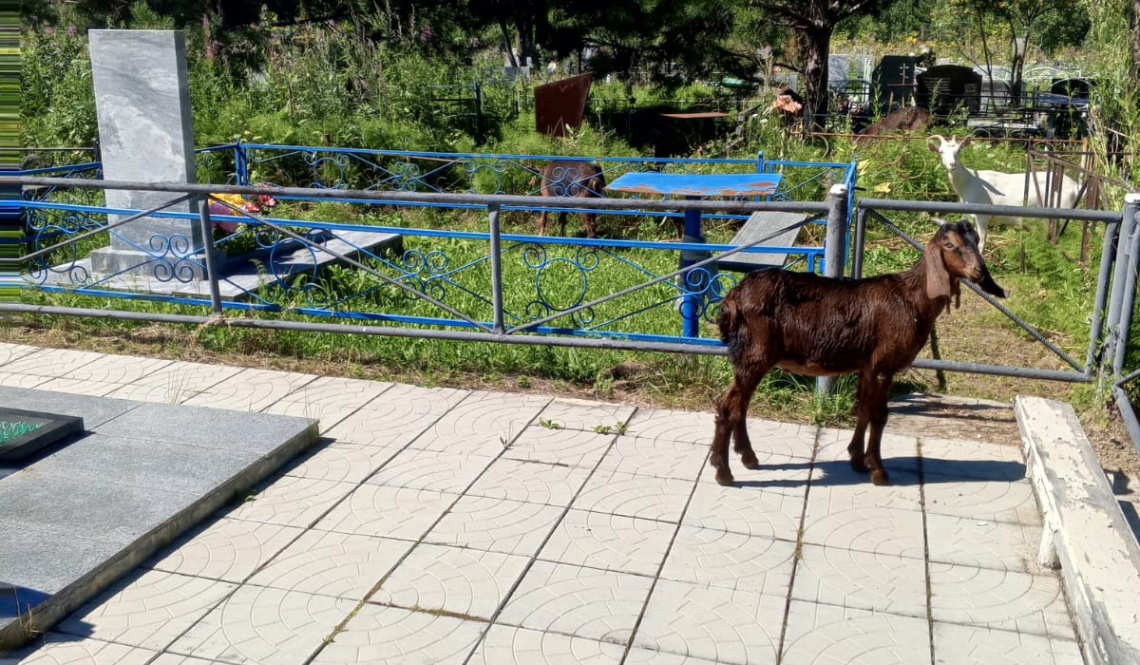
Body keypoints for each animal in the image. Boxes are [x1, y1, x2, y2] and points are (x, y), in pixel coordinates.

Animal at [709, 219, 1006, 487]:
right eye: (950, 245)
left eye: (976, 241)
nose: (979, 272)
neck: (912, 299)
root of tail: (733, 297)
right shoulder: (884, 365)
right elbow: (879, 415)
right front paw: (879, 471)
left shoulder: (868, 365)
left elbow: (862, 409)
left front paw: (857, 460)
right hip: (756, 354)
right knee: (729, 404)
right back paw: (724, 472)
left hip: (752, 357)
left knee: (739, 403)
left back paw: (747, 458)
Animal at [928, 135, 1082, 252]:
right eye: (941, 151)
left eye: (959, 150)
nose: (952, 165)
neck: (970, 181)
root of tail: (1076, 186)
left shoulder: (983, 216)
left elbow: (981, 243)